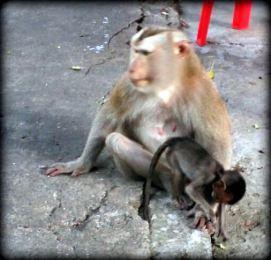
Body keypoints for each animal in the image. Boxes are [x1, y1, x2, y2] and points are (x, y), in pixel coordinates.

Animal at [45, 25, 233, 230]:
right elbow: (107, 118)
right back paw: (169, 180)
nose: (132, 67)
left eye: (145, 53)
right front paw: (80, 164)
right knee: (116, 140)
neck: (166, 85)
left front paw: (204, 210)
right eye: (135, 51)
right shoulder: (127, 85)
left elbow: (217, 144)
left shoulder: (204, 91)